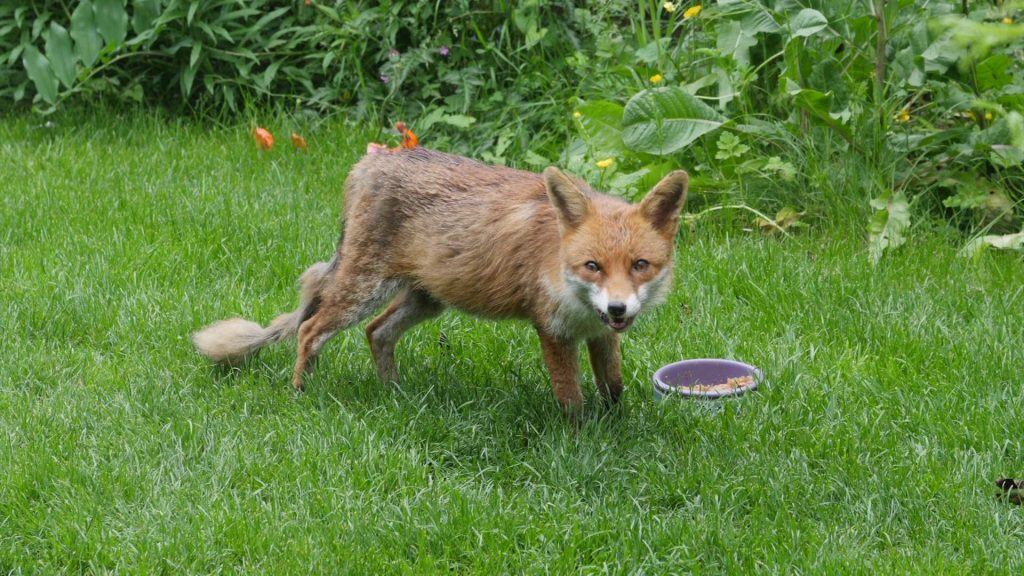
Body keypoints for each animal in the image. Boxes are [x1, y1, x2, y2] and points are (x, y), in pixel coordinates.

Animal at [192, 143, 688, 412]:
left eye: (640, 265)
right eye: (593, 266)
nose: (619, 307)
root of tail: (369, 164)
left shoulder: (599, 334)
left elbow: (614, 387)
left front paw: (615, 426)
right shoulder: (553, 329)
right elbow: (572, 399)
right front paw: (580, 443)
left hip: (427, 299)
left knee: (377, 333)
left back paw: (393, 393)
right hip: (364, 291)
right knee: (311, 329)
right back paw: (301, 389)